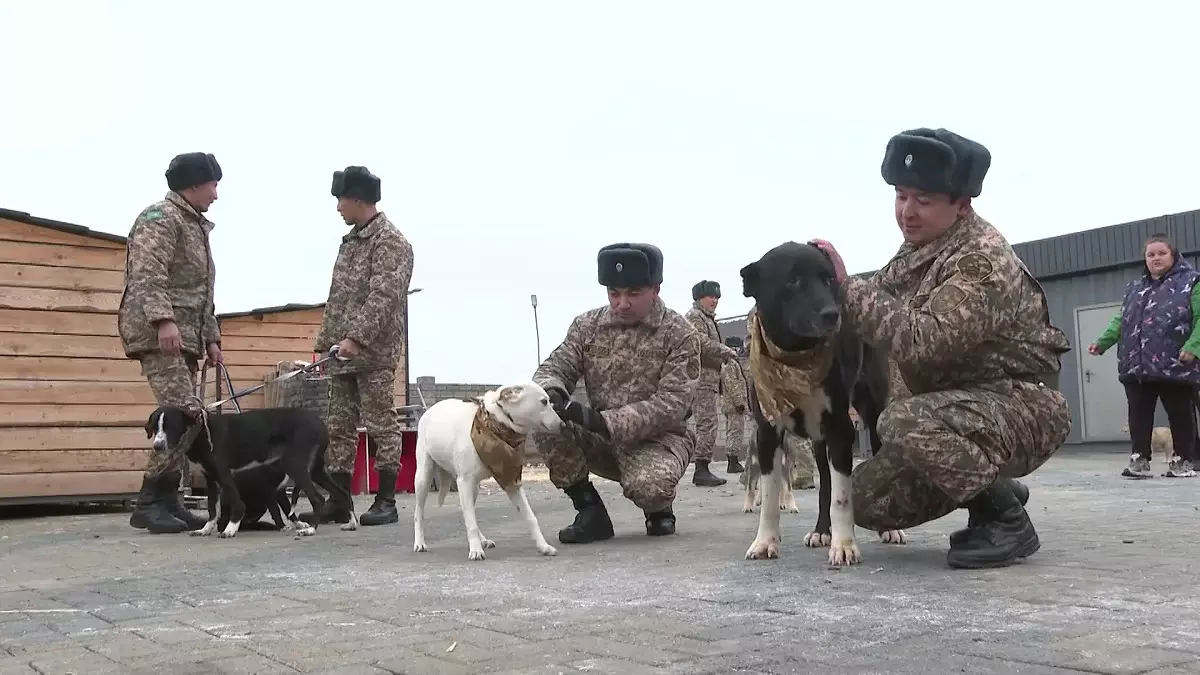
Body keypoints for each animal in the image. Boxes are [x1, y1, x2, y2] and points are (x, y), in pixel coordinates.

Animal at [142, 403, 352, 535]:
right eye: (155, 426)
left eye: (170, 426)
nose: (157, 446)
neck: (201, 430)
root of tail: (319, 423)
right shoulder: (211, 477)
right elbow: (212, 509)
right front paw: (205, 530)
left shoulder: (224, 473)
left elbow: (237, 504)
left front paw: (230, 529)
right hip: (316, 470)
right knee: (342, 493)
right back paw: (351, 523)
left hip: (294, 464)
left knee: (318, 498)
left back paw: (311, 530)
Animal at [412, 379, 561, 557]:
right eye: (544, 402)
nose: (562, 424)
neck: (496, 422)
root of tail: (431, 409)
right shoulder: (464, 482)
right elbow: (471, 523)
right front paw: (475, 550)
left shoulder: (512, 482)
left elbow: (531, 517)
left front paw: (543, 546)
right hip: (423, 478)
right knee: (419, 514)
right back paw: (420, 543)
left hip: (474, 488)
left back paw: (483, 540)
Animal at [734, 240, 897, 562]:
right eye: (792, 280)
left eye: (829, 279)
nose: (832, 314)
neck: (796, 357)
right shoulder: (767, 433)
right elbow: (770, 496)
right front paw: (765, 541)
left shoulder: (841, 429)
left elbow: (842, 497)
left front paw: (844, 545)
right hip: (818, 439)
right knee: (824, 483)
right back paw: (822, 531)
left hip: (870, 414)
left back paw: (889, 529)